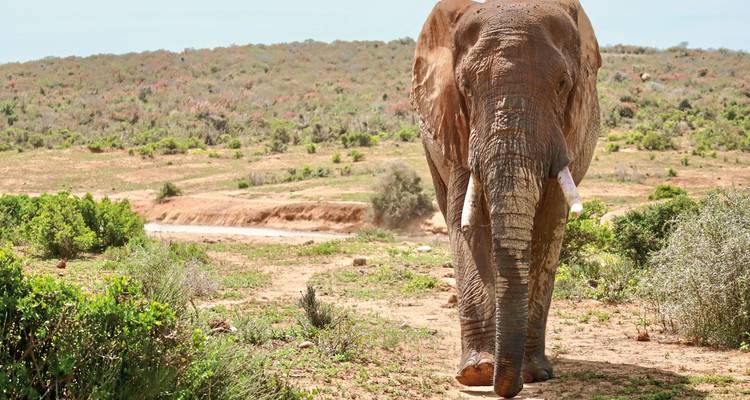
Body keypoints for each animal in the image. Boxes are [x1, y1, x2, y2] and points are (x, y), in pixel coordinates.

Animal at [411, 0, 601, 397]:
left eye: (563, 85)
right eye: (466, 87)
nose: (507, 387)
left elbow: (549, 226)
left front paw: (533, 373)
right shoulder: (458, 127)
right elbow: (466, 224)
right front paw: (477, 373)